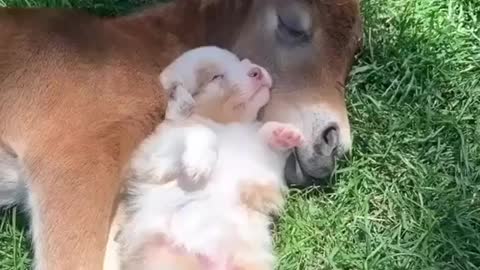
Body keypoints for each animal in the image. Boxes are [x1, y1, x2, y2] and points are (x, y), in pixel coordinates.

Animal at [117, 47, 304, 270]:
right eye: (216, 77)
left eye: (242, 61)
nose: (256, 71)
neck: (228, 125)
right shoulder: (152, 157)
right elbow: (201, 131)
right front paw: (199, 164)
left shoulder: (259, 170)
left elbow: (265, 138)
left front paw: (284, 133)